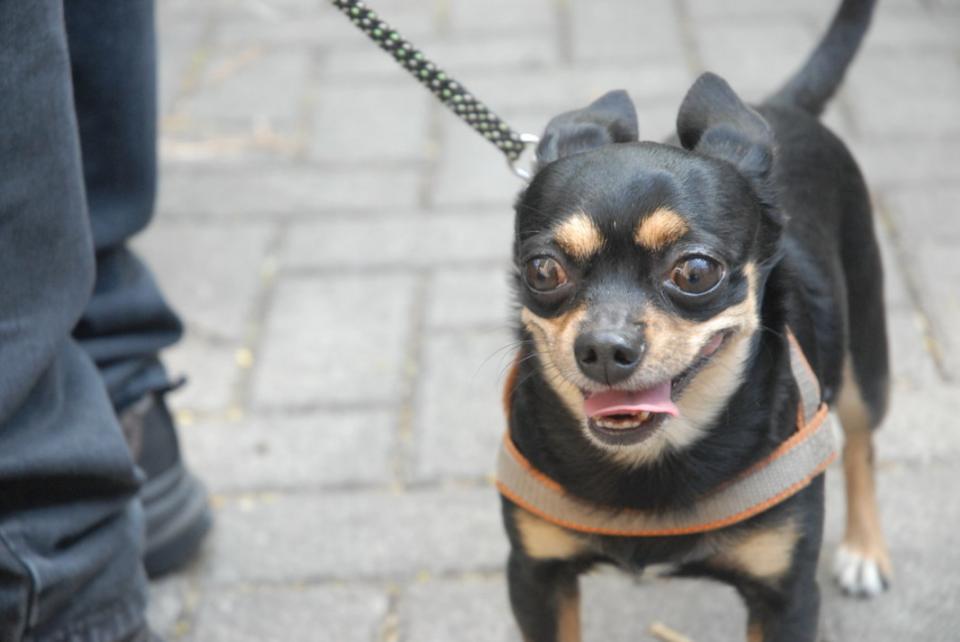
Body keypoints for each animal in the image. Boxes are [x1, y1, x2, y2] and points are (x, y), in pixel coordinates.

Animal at [498, 1, 888, 640]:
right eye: (543, 270)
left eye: (696, 272)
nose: (604, 348)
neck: (651, 459)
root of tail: (778, 106)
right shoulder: (536, 578)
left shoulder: (785, 597)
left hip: (865, 361)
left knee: (860, 440)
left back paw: (864, 549)